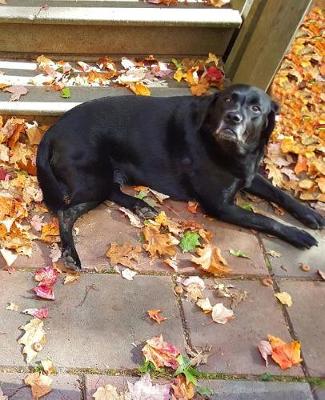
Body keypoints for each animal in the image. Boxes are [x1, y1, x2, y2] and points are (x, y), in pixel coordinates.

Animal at [36, 86, 322, 270]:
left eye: (255, 108)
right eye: (227, 100)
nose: (233, 118)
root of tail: (53, 130)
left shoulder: (249, 176)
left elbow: (279, 193)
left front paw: (309, 214)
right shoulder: (221, 206)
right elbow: (265, 219)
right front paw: (297, 234)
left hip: (103, 178)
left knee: (111, 193)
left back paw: (141, 206)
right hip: (94, 179)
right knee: (66, 213)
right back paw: (71, 254)